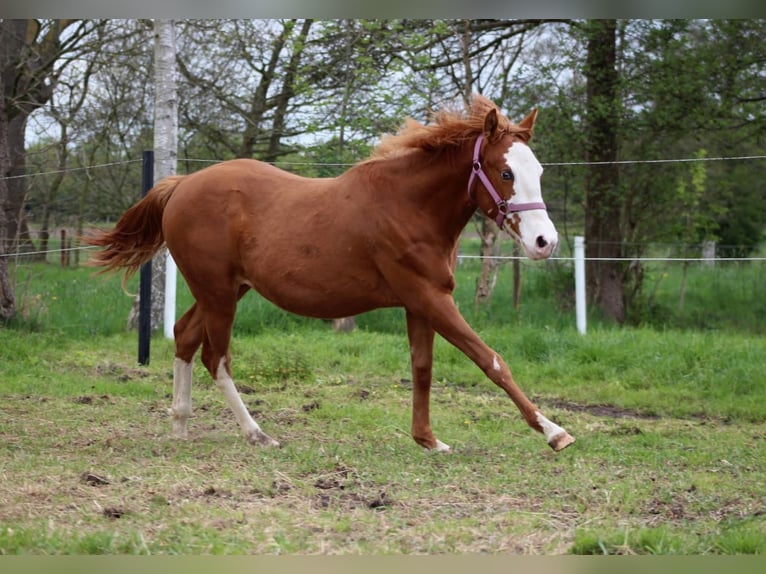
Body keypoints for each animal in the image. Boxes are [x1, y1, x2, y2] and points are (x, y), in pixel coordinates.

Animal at [85, 95, 575, 453]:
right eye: (505, 172)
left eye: (538, 170)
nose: (545, 242)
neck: (410, 206)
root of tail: (181, 185)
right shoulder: (430, 298)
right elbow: (490, 360)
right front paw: (554, 432)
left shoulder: (420, 302)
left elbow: (422, 367)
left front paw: (428, 440)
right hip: (218, 293)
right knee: (216, 357)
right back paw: (257, 434)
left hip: (225, 290)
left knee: (185, 337)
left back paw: (181, 424)